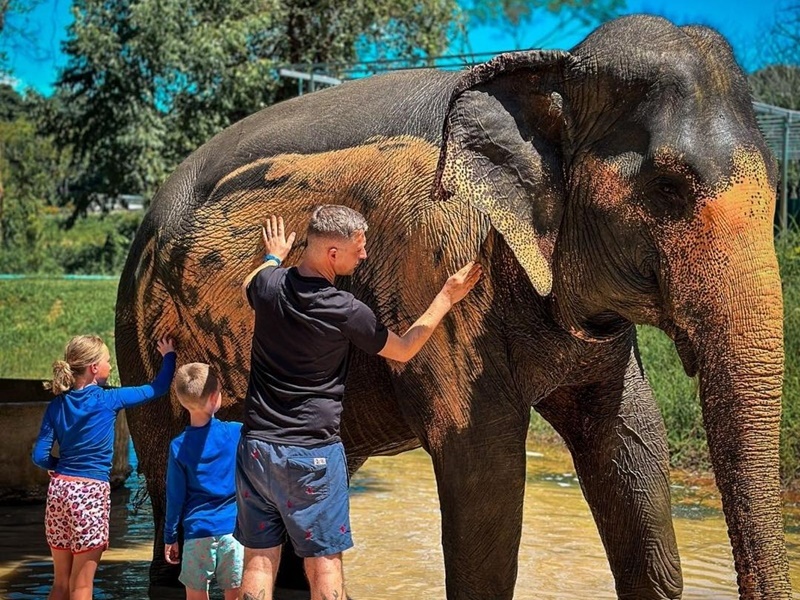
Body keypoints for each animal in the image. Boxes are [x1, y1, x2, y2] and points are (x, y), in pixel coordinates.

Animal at [115, 14, 790, 600]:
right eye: (669, 187)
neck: (551, 68)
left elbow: (632, 451)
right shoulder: (437, 248)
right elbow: (485, 467)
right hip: (142, 338)